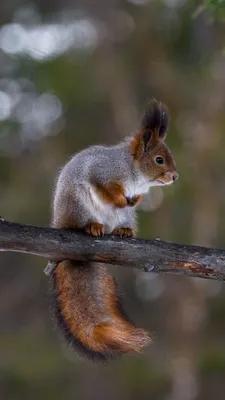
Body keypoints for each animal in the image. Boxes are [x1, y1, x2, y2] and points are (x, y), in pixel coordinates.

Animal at [45, 98, 178, 360]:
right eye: (159, 159)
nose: (175, 176)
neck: (135, 173)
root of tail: (60, 219)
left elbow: (135, 198)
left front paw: (134, 200)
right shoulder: (102, 172)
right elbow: (106, 188)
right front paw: (118, 197)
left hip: (123, 217)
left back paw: (123, 231)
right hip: (77, 204)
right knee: (83, 221)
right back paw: (93, 226)